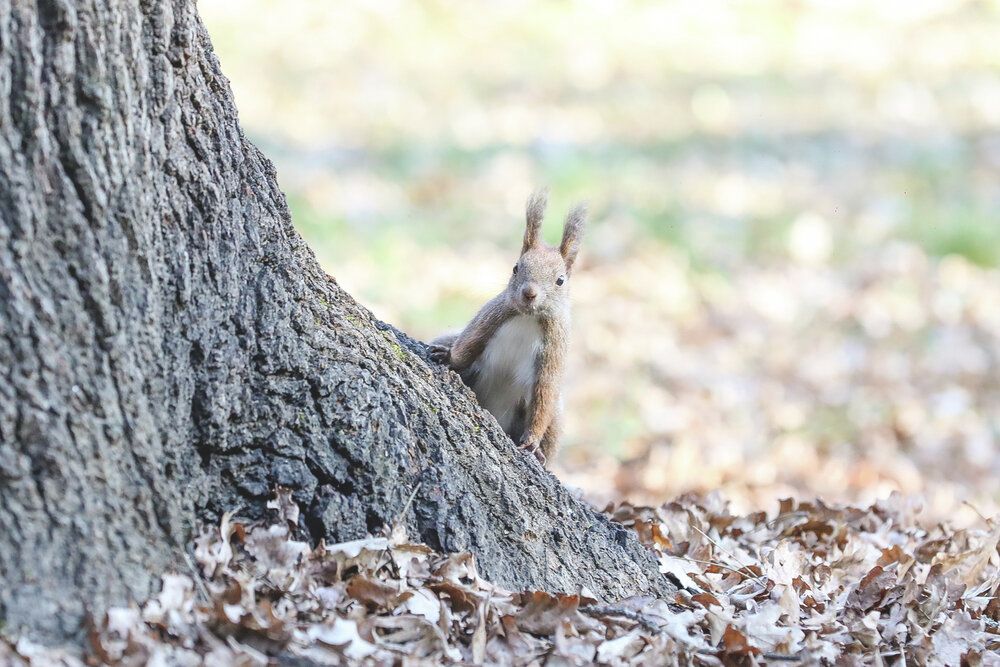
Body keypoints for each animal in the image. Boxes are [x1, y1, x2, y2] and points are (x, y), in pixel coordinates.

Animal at [428, 190, 584, 468]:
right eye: (515, 267)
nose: (529, 293)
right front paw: (449, 358)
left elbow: (545, 392)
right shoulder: (491, 318)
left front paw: (532, 441)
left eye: (560, 280)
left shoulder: (554, 347)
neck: (528, 318)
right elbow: (468, 345)